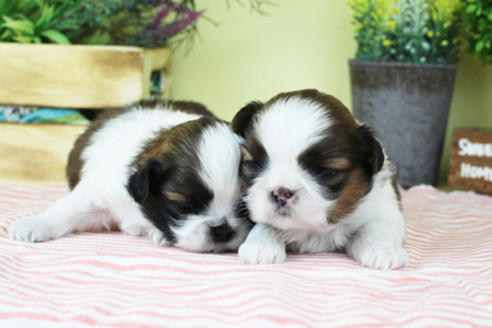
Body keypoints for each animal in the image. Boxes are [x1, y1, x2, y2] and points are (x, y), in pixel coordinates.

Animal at [8, 98, 252, 252]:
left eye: (243, 206)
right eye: (183, 205)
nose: (222, 230)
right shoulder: (102, 189)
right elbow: (68, 207)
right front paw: (34, 223)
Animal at [233, 89, 410, 270]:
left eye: (323, 171)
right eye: (255, 164)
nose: (281, 193)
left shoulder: (383, 204)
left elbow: (378, 225)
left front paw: (383, 250)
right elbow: (266, 223)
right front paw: (260, 245)